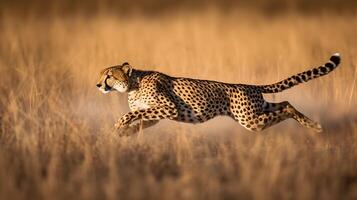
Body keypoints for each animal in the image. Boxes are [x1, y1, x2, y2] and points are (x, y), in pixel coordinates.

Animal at [96, 53, 340, 133]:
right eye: (100, 75)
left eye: (109, 75)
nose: (98, 85)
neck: (133, 85)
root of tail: (250, 86)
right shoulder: (156, 114)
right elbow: (141, 120)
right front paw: (126, 133)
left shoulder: (169, 108)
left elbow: (132, 114)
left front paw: (120, 125)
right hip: (257, 111)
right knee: (287, 102)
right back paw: (311, 124)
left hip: (250, 120)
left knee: (286, 108)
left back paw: (314, 126)